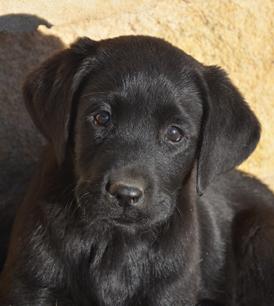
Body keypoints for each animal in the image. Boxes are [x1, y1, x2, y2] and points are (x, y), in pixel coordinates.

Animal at [0, 35, 274, 306]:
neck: (114, 241)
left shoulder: (171, 291)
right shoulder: (33, 285)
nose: (125, 194)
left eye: (174, 133)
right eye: (102, 117)